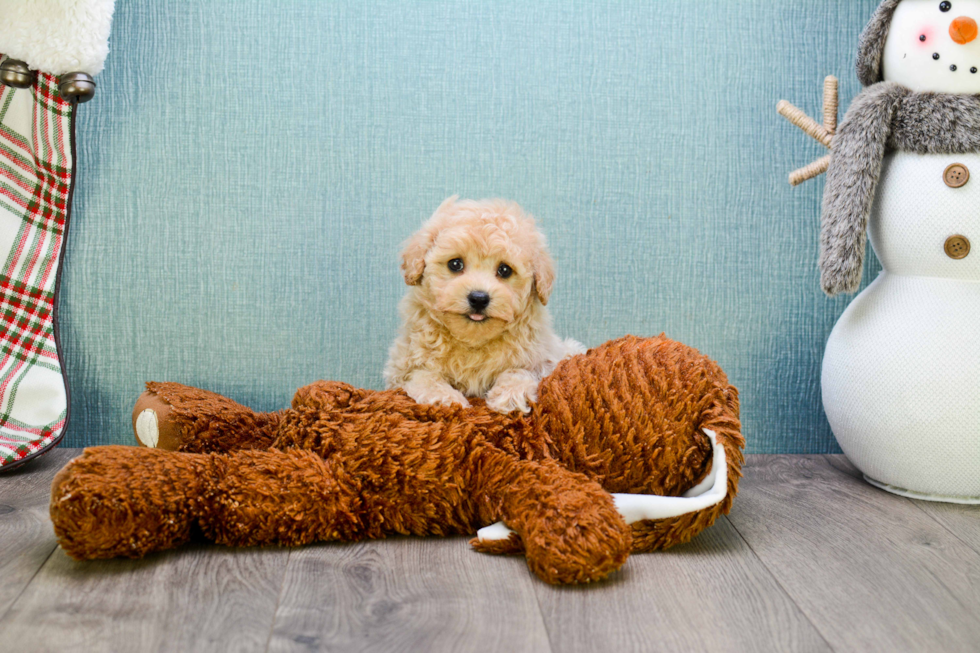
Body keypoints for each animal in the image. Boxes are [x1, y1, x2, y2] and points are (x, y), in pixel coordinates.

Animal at [380, 196, 580, 416]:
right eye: (455, 264)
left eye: (504, 270)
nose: (478, 298)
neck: (473, 342)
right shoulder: (400, 368)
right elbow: (423, 376)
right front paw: (446, 399)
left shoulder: (545, 358)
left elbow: (521, 370)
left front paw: (510, 395)